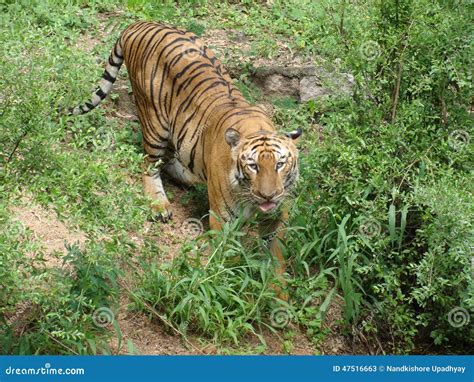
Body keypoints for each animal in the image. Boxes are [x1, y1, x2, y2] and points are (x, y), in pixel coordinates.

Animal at [68, 21, 302, 298]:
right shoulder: (224, 221)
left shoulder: (275, 220)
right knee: (149, 164)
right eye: (253, 166)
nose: (269, 196)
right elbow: (230, 262)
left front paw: (278, 297)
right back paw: (159, 205)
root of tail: (138, 24)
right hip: (155, 122)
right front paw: (235, 292)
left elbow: (276, 259)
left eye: (280, 164)